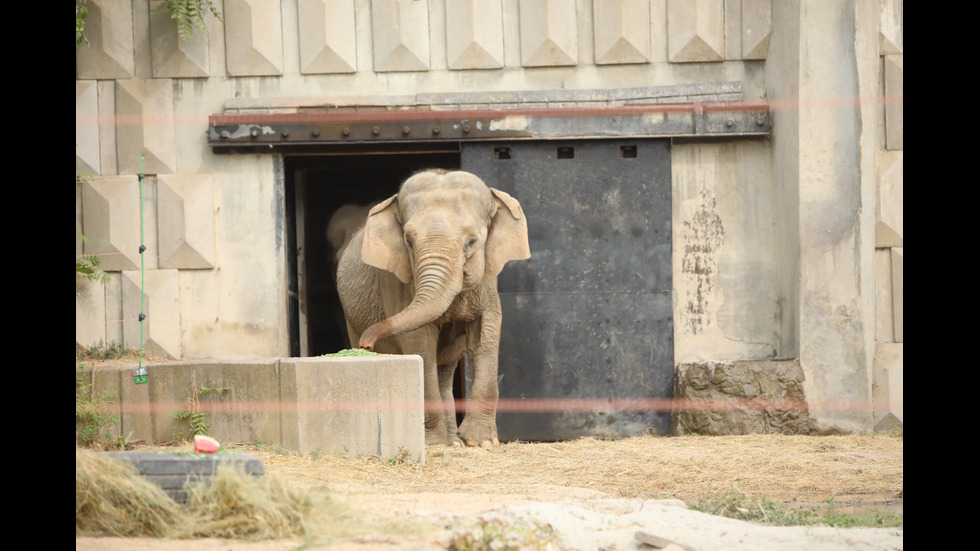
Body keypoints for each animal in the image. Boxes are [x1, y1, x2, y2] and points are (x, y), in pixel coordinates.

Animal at [340, 169, 532, 448]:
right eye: (408, 241)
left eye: (472, 242)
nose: (368, 342)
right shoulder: (398, 281)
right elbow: (419, 345)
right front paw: (434, 444)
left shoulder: (487, 280)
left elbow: (485, 334)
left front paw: (481, 443)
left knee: (446, 368)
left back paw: (455, 442)